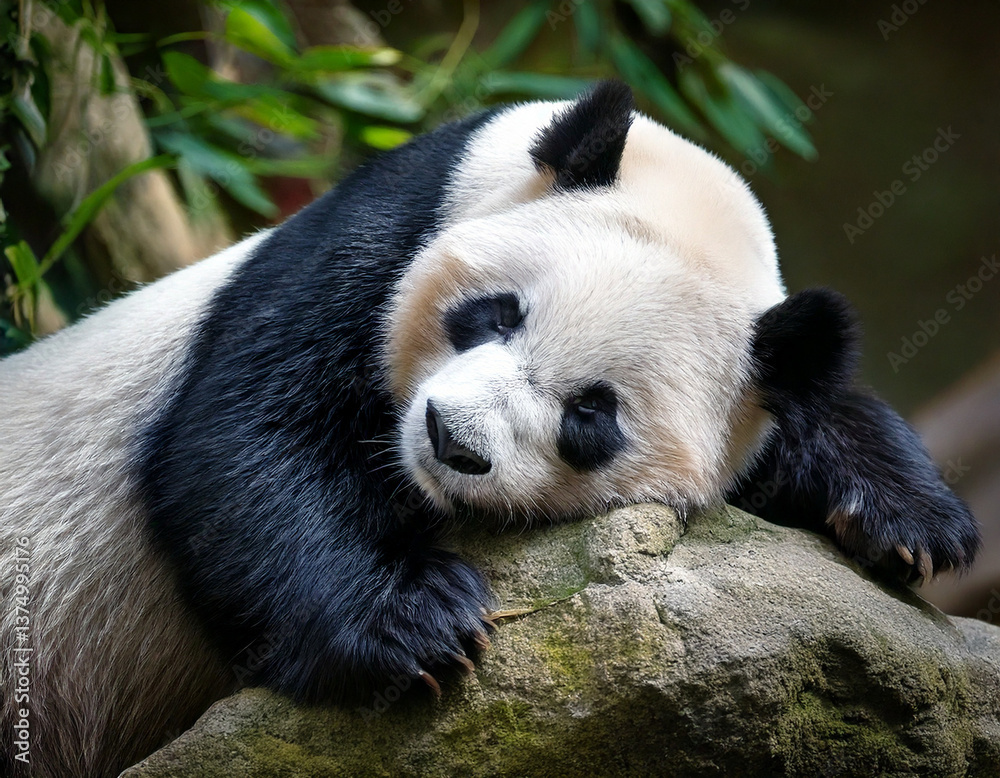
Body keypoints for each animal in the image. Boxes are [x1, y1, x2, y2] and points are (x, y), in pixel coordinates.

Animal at [0, 81, 979, 777]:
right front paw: (418, 621)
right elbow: (247, 436)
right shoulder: (389, 229)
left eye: (591, 413)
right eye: (496, 313)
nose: (451, 441)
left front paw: (909, 521)